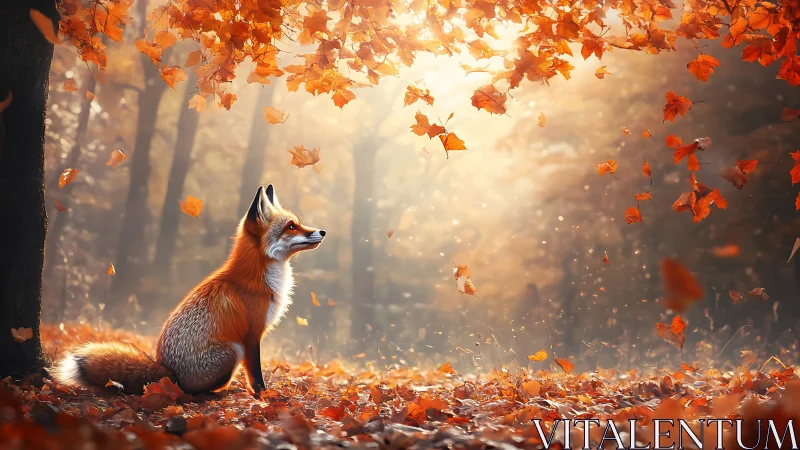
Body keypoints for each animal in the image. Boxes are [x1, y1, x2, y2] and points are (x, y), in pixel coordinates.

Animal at [54, 185, 325, 395]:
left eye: (298, 223)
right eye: (291, 226)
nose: (322, 231)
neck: (258, 277)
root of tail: (168, 373)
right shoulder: (251, 335)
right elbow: (256, 375)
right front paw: (263, 395)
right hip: (233, 349)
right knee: (193, 390)